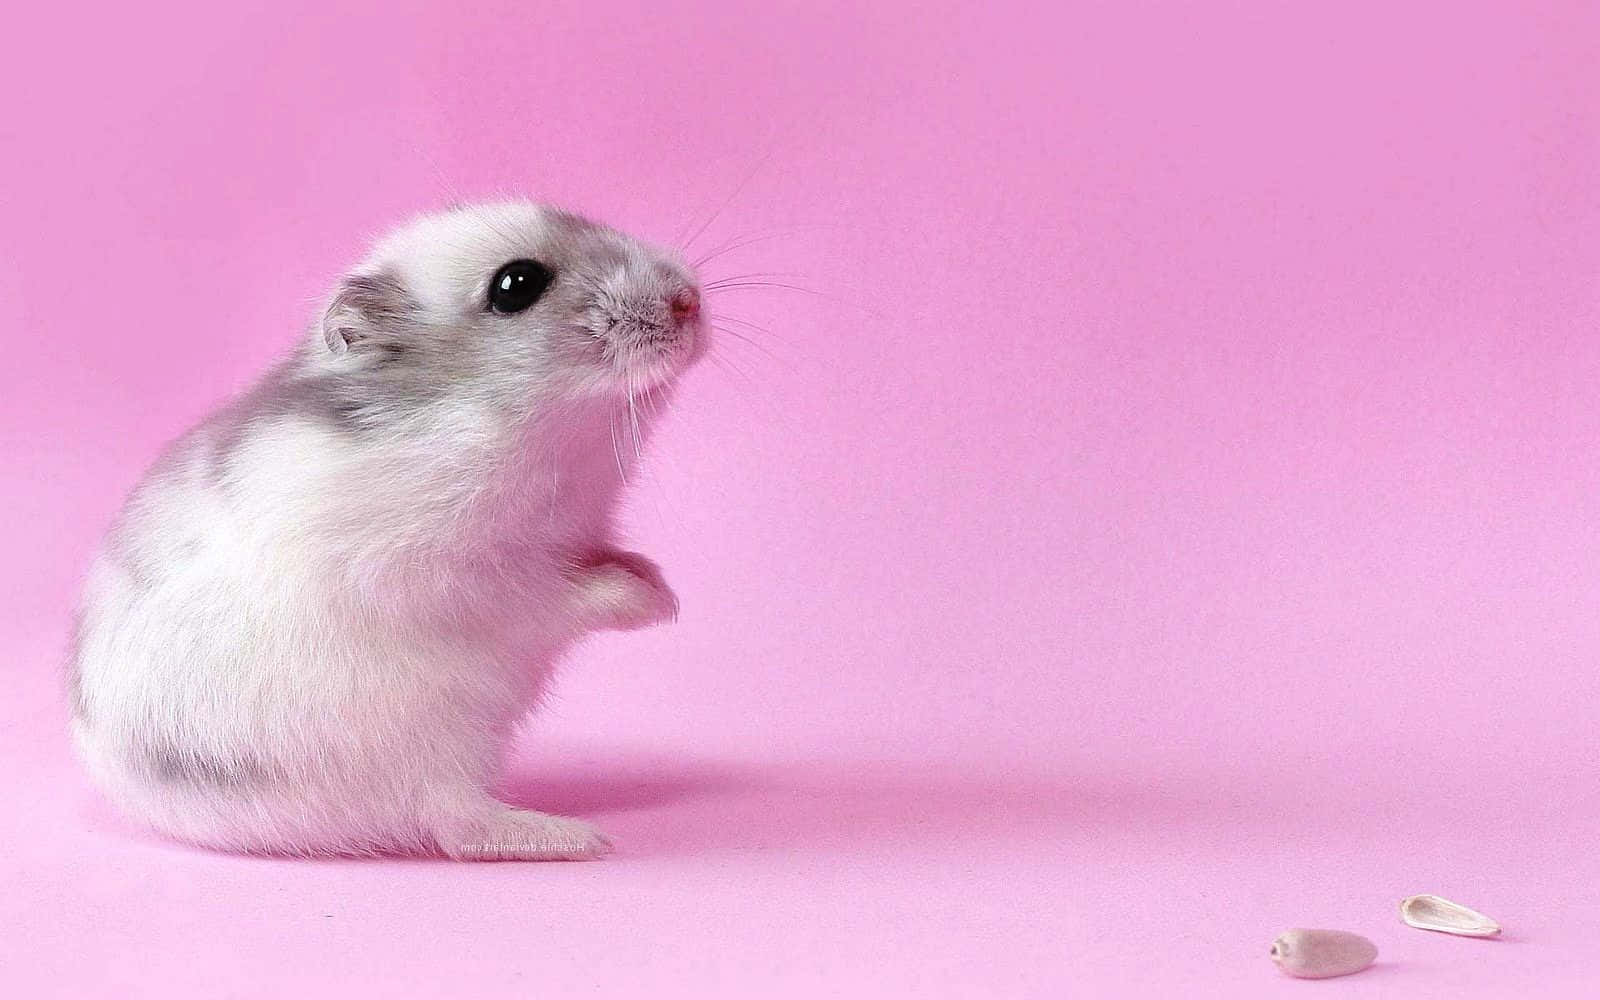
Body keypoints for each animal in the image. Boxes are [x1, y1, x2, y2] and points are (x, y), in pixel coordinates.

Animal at [68, 201, 707, 860]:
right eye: (516, 285)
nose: (689, 300)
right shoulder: (462, 578)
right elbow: (559, 594)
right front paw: (658, 605)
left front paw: (661, 584)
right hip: (423, 753)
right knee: (459, 825)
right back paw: (580, 838)